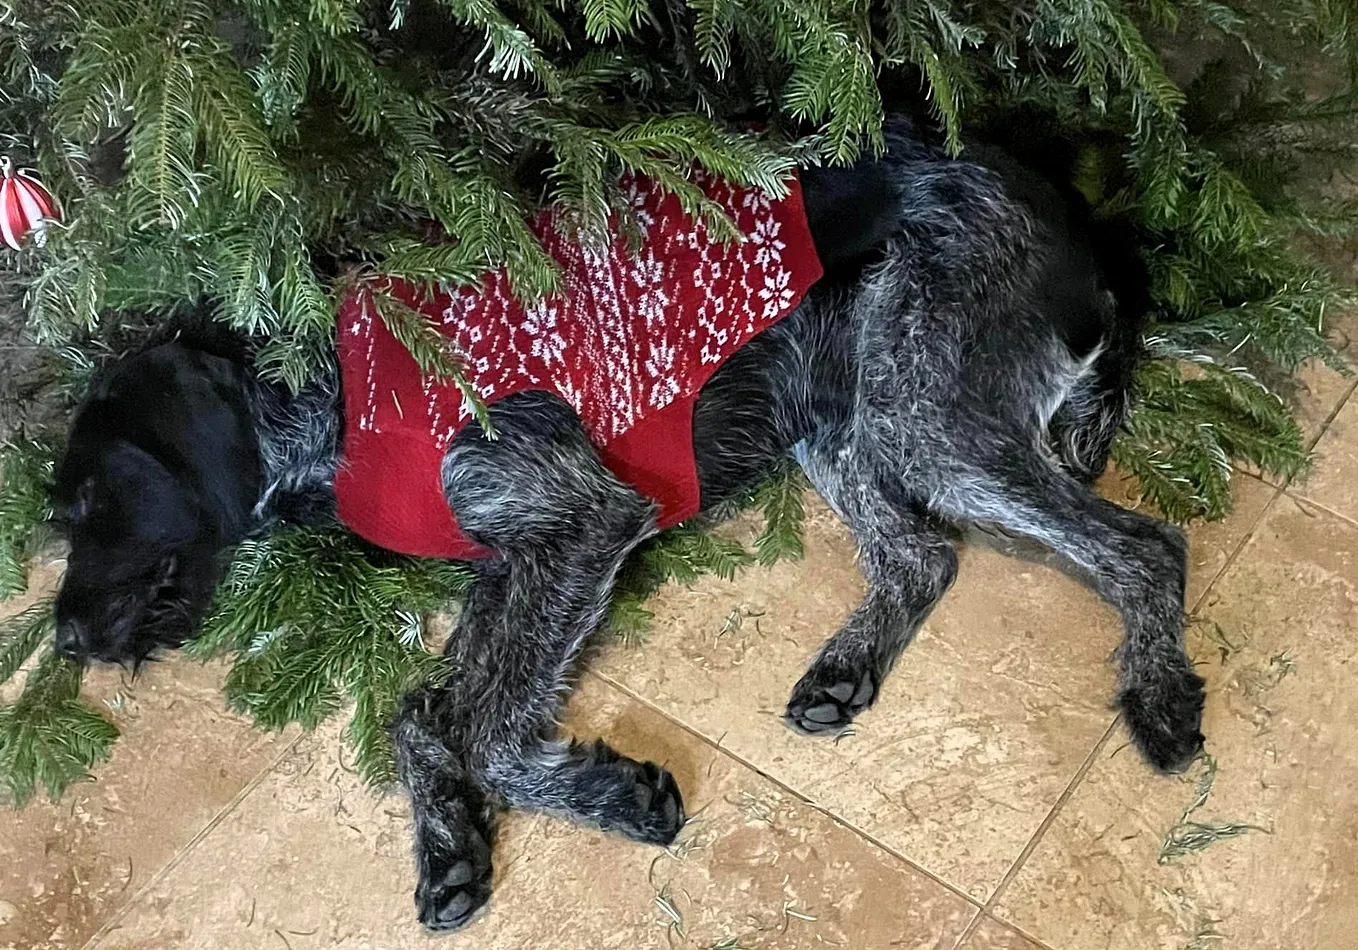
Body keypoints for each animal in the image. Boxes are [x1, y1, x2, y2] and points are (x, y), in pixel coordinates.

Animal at [47, 118, 1205, 928]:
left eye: (89, 501)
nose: (57, 637)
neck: (339, 399)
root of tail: (1072, 209)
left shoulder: (577, 522)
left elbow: (483, 732)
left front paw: (610, 794)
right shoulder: (508, 563)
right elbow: (421, 713)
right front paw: (449, 844)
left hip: (925, 413)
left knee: (1144, 545)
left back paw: (1156, 696)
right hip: (839, 405)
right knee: (922, 555)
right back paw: (846, 668)